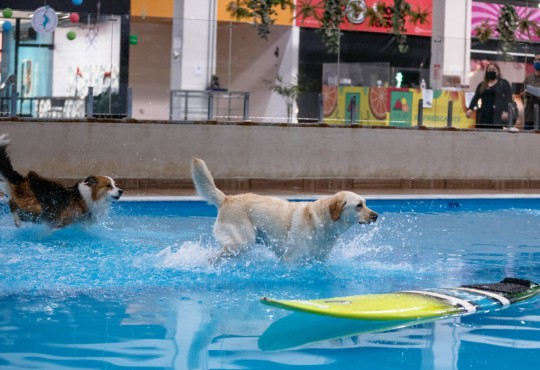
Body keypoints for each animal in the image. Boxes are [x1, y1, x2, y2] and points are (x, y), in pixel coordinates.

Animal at [192, 158, 378, 262]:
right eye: (359, 206)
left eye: (366, 203)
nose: (375, 215)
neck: (323, 222)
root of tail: (227, 198)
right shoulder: (291, 259)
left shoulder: (318, 259)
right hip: (242, 243)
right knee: (216, 257)